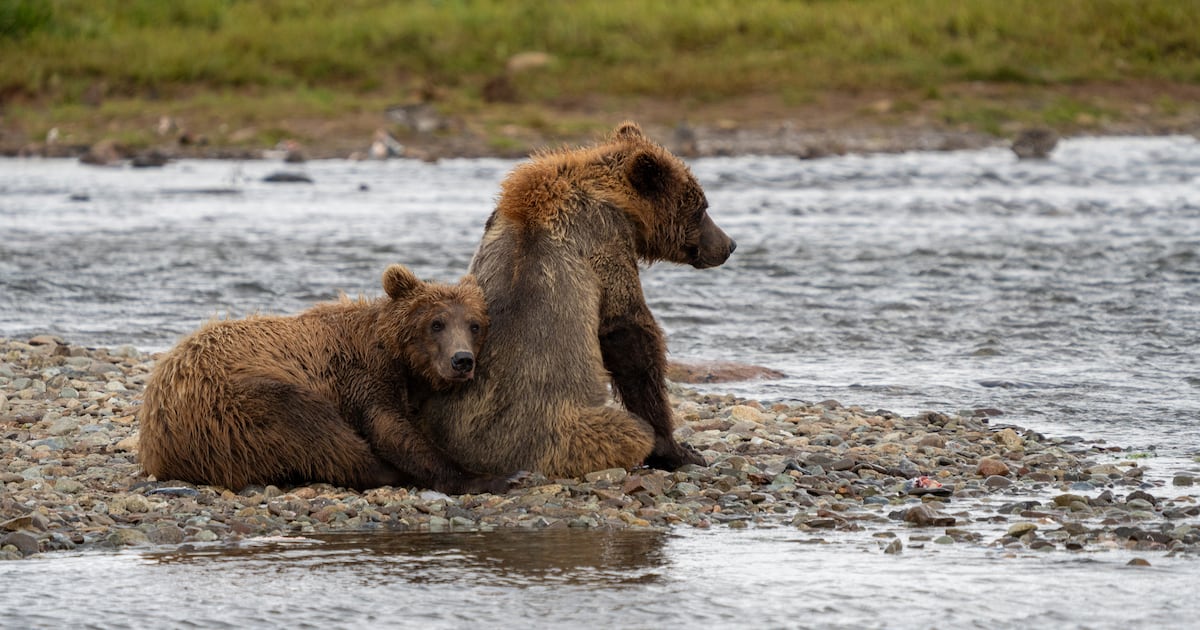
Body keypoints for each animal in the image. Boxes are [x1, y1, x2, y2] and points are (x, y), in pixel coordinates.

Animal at [137, 264, 513, 494]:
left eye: (474, 325)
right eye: (437, 323)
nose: (461, 360)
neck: (396, 355)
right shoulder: (358, 373)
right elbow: (390, 429)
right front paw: (486, 477)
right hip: (234, 402)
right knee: (317, 430)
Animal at [414, 121, 736, 478]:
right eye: (702, 208)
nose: (729, 244)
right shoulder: (604, 245)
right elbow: (629, 332)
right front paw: (679, 449)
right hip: (558, 432)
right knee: (621, 431)